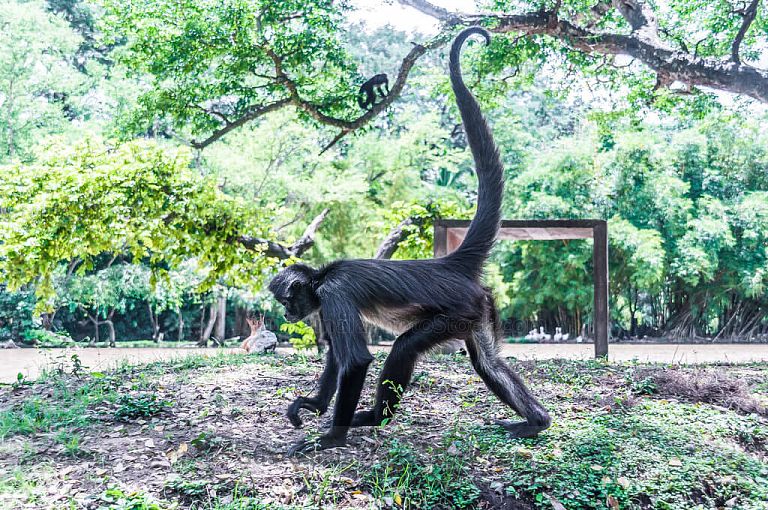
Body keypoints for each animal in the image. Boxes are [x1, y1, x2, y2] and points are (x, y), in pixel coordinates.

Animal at [269, 27, 551, 455]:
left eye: (287, 300)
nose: (286, 315)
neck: (322, 277)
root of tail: (447, 264)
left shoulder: (334, 294)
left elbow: (355, 360)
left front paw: (332, 437)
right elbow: (335, 355)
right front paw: (315, 405)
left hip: (456, 312)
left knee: (403, 347)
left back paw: (373, 417)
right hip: (477, 309)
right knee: (488, 362)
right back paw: (537, 422)